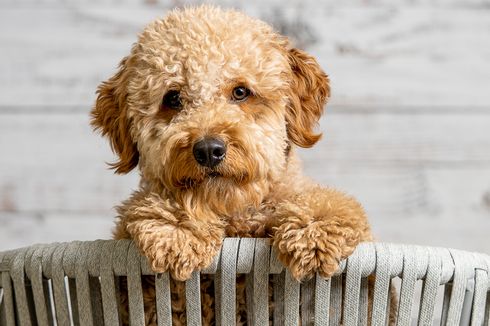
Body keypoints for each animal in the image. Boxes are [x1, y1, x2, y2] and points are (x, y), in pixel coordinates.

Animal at [91, 5, 376, 326]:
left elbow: (335, 205)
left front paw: (313, 232)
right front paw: (177, 229)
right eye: (172, 98)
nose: (208, 150)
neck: (235, 215)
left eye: (241, 92)